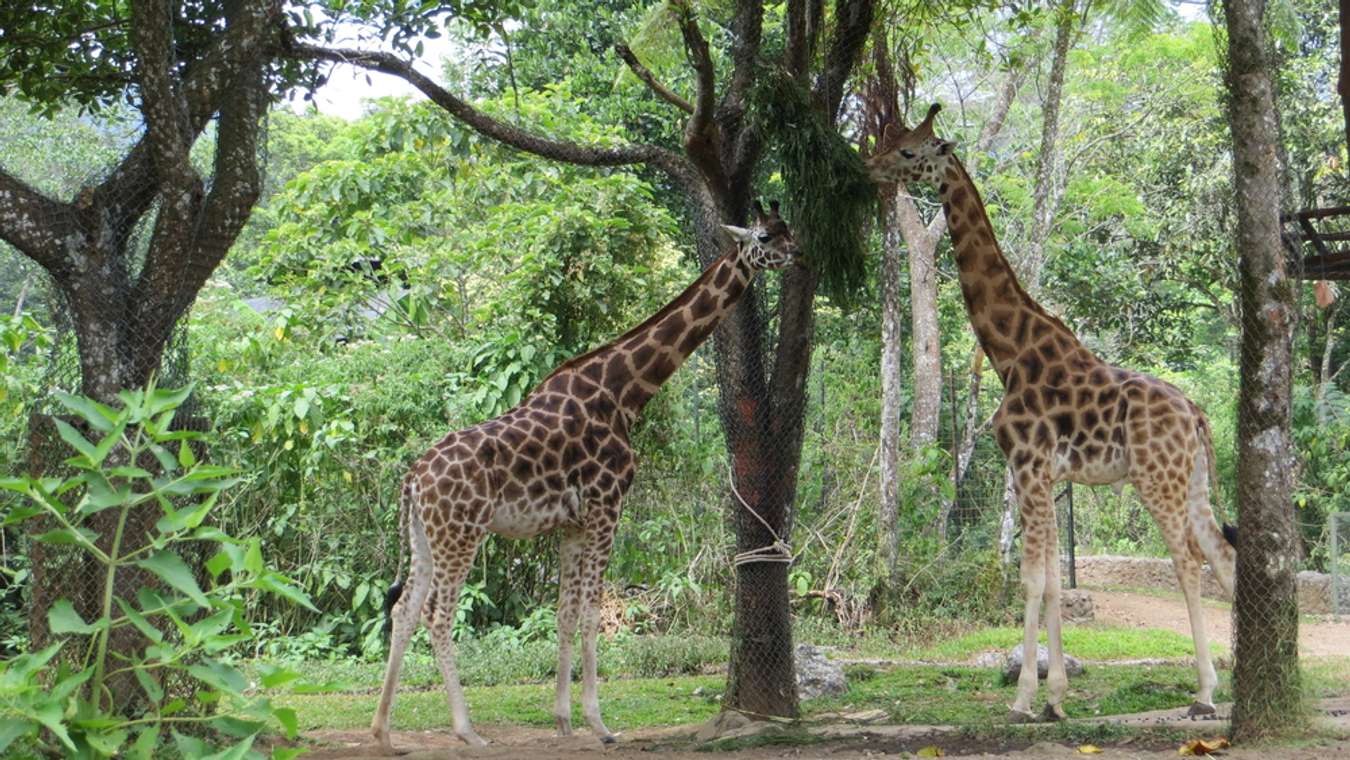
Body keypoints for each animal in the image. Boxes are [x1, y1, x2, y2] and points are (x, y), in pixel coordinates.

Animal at [372, 201, 799, 750]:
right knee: (437, 616)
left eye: (789, 231)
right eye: (765, 236)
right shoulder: (606, 506)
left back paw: (383, 730)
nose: (797, 255)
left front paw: (563, 720)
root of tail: (413, 479)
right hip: (460, 533)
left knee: (403, 611)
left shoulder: (572, 523)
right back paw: (467, 732)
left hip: (425, 537)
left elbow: (566, 613)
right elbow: (594, 612)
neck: (624, 394)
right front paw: (600, 723)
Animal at [864, 103, 1236, 723]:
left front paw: (1023, 699)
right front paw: (1057, 699)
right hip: (1193, 481)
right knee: (1223, 553)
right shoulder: (1047, 474)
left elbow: (1033, 579)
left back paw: (1206, 692)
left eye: (911, 151)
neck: (1009, 351)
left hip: (1155, 478)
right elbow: (1057, 582)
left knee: (1188, 561)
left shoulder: (1029, 466)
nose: (869, 167)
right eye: (891, 142)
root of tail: (1197, 412)